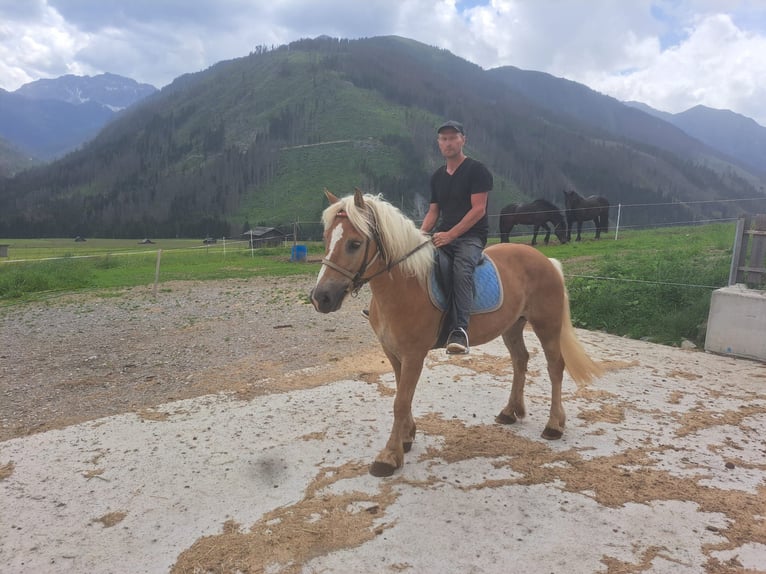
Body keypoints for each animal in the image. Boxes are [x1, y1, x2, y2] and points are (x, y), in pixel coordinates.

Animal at [308, 189, 604, 476]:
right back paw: (511, 412)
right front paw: (406, 438)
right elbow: (402, 397)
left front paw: (389, 457)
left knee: (555, 367)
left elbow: (400, 401)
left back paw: (554, 425)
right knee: (520, 360)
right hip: (512, 326)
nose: (321, 297)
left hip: (547, 326)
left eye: (354, 243)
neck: (405, 285)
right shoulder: (393, 353)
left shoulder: (414, 355)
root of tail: (547, 261)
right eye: (326, 239)